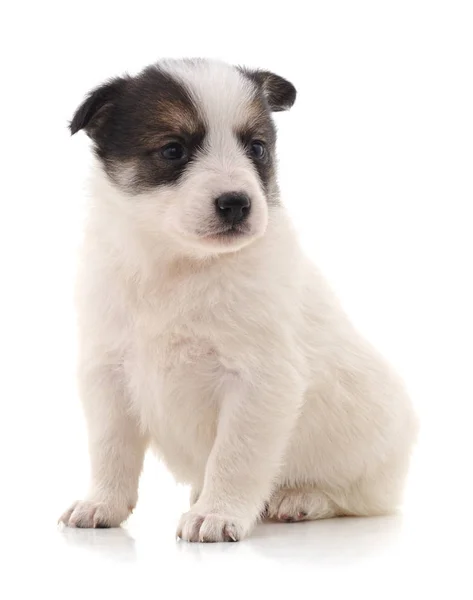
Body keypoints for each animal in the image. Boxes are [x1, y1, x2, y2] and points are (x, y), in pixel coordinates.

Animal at [59, 58, 416, 540]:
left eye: (257, 149)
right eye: (173, 150)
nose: (237, 203)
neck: (180, 266)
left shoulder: (260, 380)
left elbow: (235, 456)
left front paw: (217, 512)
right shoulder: (107, 373)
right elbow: (110, 449)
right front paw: (102, 503)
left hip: (369, 463)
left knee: (357, 498)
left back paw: (300, 499)